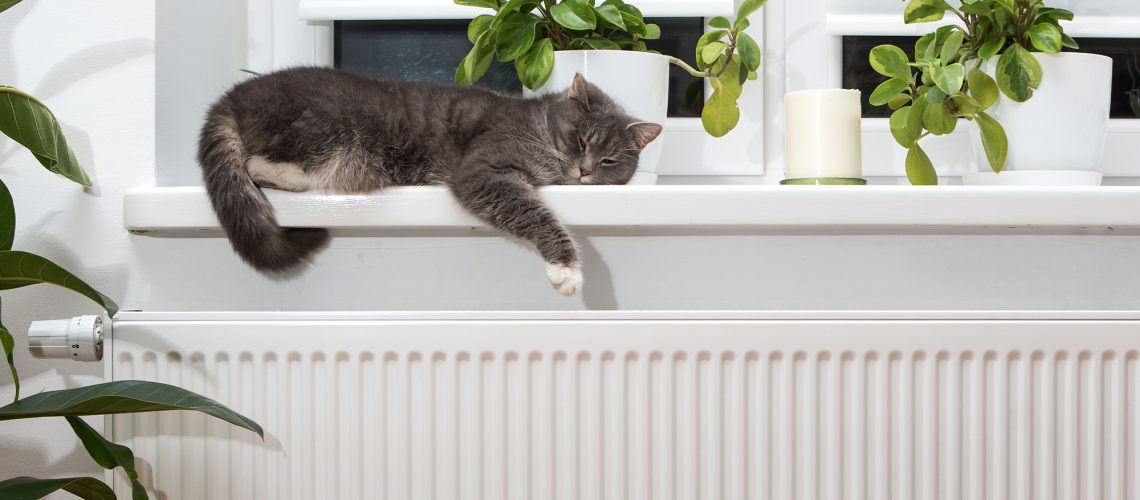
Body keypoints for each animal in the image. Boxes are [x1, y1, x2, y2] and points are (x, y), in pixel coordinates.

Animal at [196, 65, 661, 298]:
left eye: (609, 160)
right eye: (580, 139)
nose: (584, 170)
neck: (538, 125)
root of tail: (233, 96)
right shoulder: (481, 169)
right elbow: (533, 211)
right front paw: (566, 269)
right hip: (326, 128)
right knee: (255, 161)